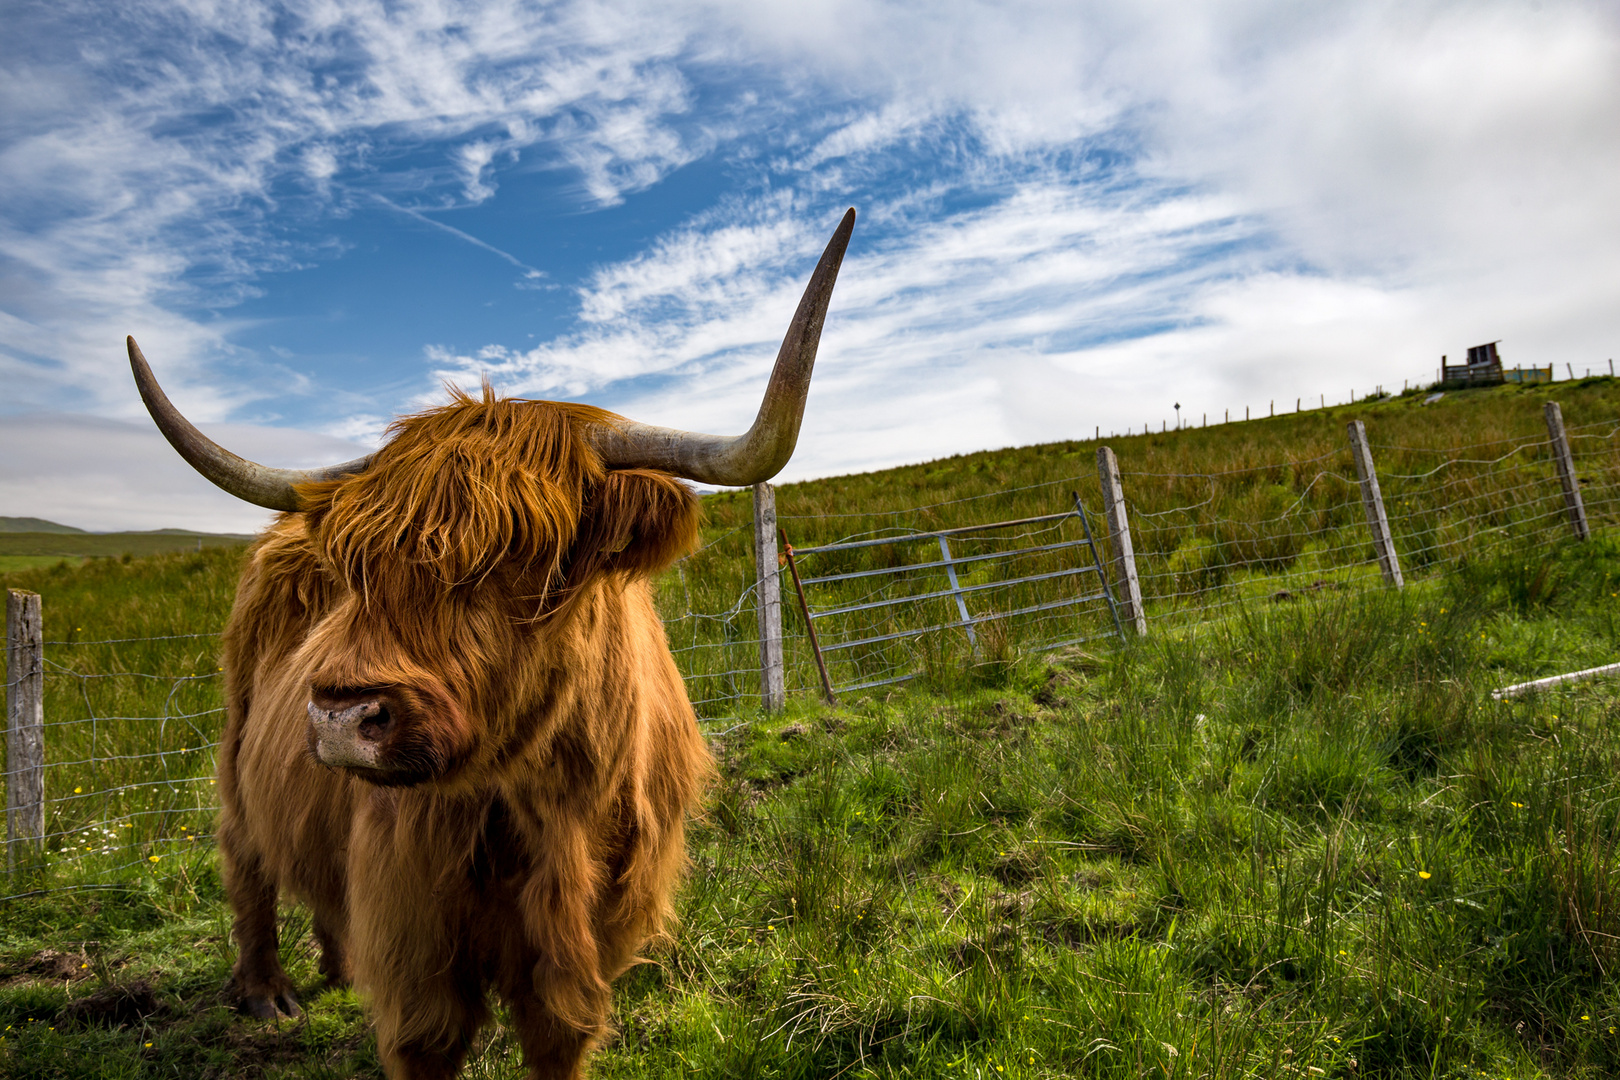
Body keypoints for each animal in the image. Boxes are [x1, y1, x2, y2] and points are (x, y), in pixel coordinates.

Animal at [126, 207, 855, 1075]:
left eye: (522, 557)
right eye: (358, 568)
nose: (341, 718)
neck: (549, 802)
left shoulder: (592, 944)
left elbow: (559, 1035)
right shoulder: (416, 950)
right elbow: (426, 1038)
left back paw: (337, 968)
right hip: (237, 760)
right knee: (246, 862)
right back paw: (266, 992)